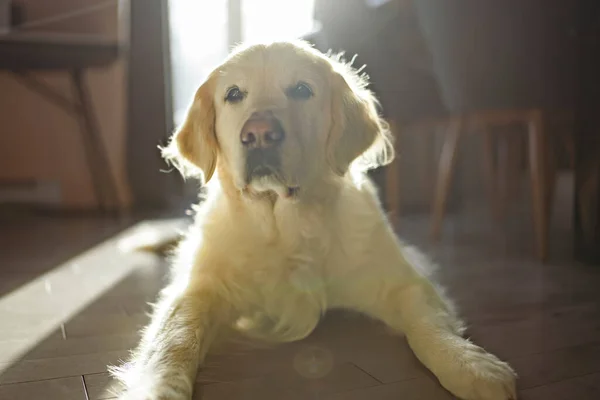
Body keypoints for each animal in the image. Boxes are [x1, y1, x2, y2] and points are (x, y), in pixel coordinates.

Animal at [111, 41, 516, 400]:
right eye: (234, 94)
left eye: (302, 90)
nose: (259, 134)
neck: (283, 227)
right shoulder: (200, 288)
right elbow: (177, 336)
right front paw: (158, 387)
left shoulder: (401, 281)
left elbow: (427, 323)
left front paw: (469, 365)